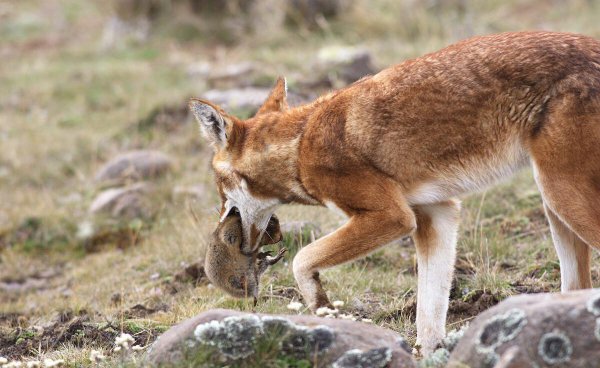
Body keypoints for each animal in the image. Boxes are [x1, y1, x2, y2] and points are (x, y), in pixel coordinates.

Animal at [190, 32, 600, 354]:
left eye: (219, 191)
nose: (221, 230)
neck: (300, 145)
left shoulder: (391, 217)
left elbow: (302, 260)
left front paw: (321, 305)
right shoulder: (437, 215)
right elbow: (428, 318)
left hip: (560, 195)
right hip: (554, 209)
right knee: (578, 285)